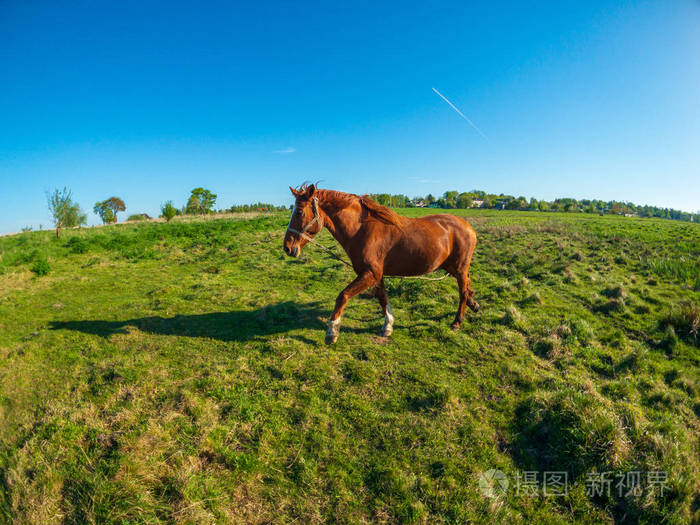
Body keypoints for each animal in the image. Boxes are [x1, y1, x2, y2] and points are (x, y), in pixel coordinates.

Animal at [282, 184, 478, 344]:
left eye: (299, 212)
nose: (287, 247)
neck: (362, 230)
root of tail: (467, 226)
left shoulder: (370, 273)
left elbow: (343, 296)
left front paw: (332, 332)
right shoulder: (376, 275)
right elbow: (382, 298)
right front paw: (388, 326)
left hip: (459, 267)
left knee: (462, 291)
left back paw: (457, 321)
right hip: (450, 266)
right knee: (468, 285)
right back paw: (473, 304)